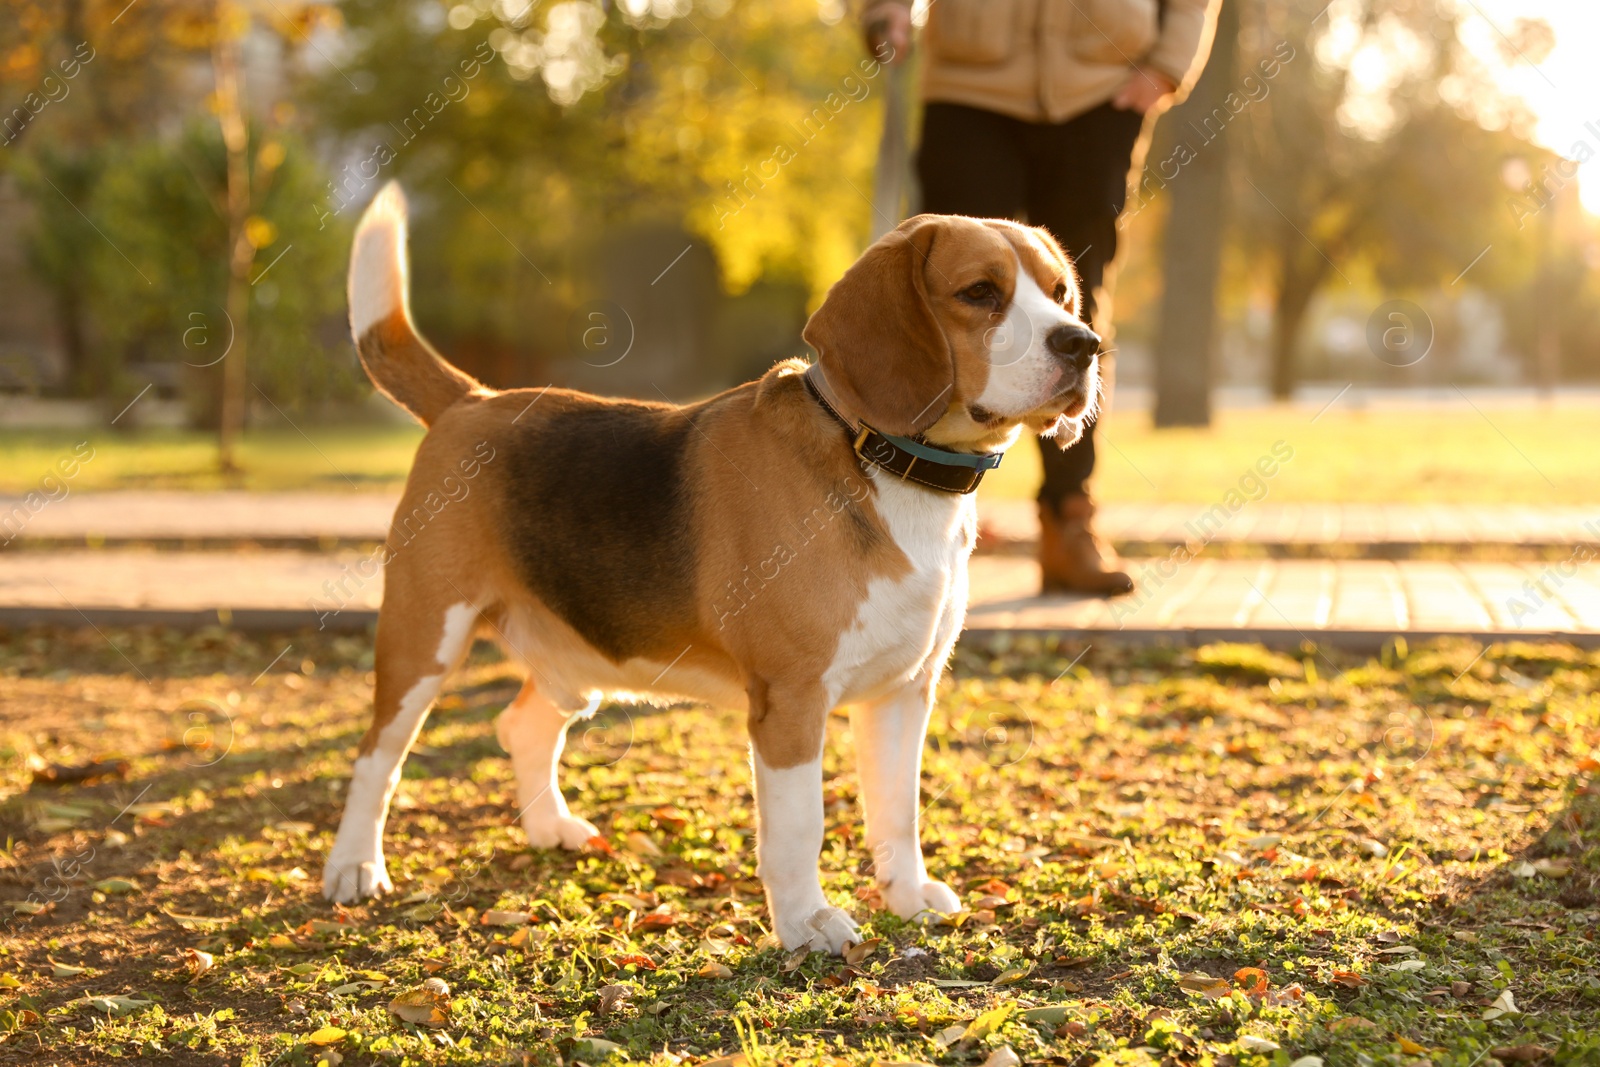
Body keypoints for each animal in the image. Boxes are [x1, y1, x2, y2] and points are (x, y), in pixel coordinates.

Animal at [324, 181, 1100, 953]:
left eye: (1062, 292)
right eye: (980, 293)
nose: (1084, 343)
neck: (880, 457)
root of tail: (471, 400)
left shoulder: (904, 691)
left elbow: (897, 811)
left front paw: (906, 897)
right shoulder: (791, 699)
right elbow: (800, 826)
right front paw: (806, 923)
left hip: (572, 656)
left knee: (524, 727)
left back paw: (549, 827)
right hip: (423, 639)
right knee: (374, 756)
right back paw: (354, 866)